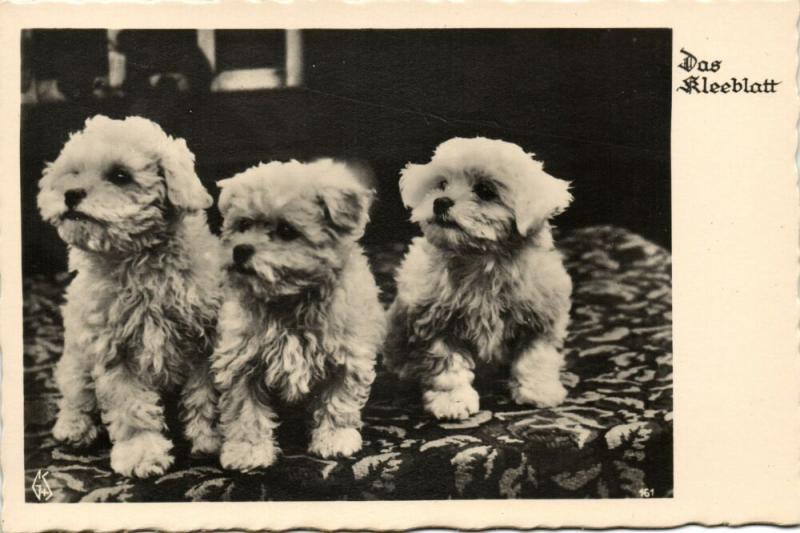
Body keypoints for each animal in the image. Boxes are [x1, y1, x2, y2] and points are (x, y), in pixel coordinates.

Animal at [38, 114, 222, 476]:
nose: (70, 194)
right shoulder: (113, 352)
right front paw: (142, 453)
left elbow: (203, 396)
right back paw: (73, 428)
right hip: (76, 360)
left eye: (120, 176)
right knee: (76, 396)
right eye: (74, 172)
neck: (138, 263)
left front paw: (208, 441)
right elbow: (131, 407)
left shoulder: (203, 343)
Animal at [209, 158, 384, 470]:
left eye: (287, 231)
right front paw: (247, 449)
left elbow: (339, 401)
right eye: (243, 224)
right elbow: (244, 410)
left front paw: (335, 438)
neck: (289, 300)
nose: (240, 250)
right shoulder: (239, 359)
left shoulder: (348, 356)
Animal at [384, 137, 572, 420]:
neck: (481, 260)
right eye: (442, 184)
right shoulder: (436, 323)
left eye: (485, 191)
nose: (440, 202)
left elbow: (536, 356)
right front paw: (453, 402)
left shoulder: (540, 319)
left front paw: (538, 391)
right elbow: (447, 366)